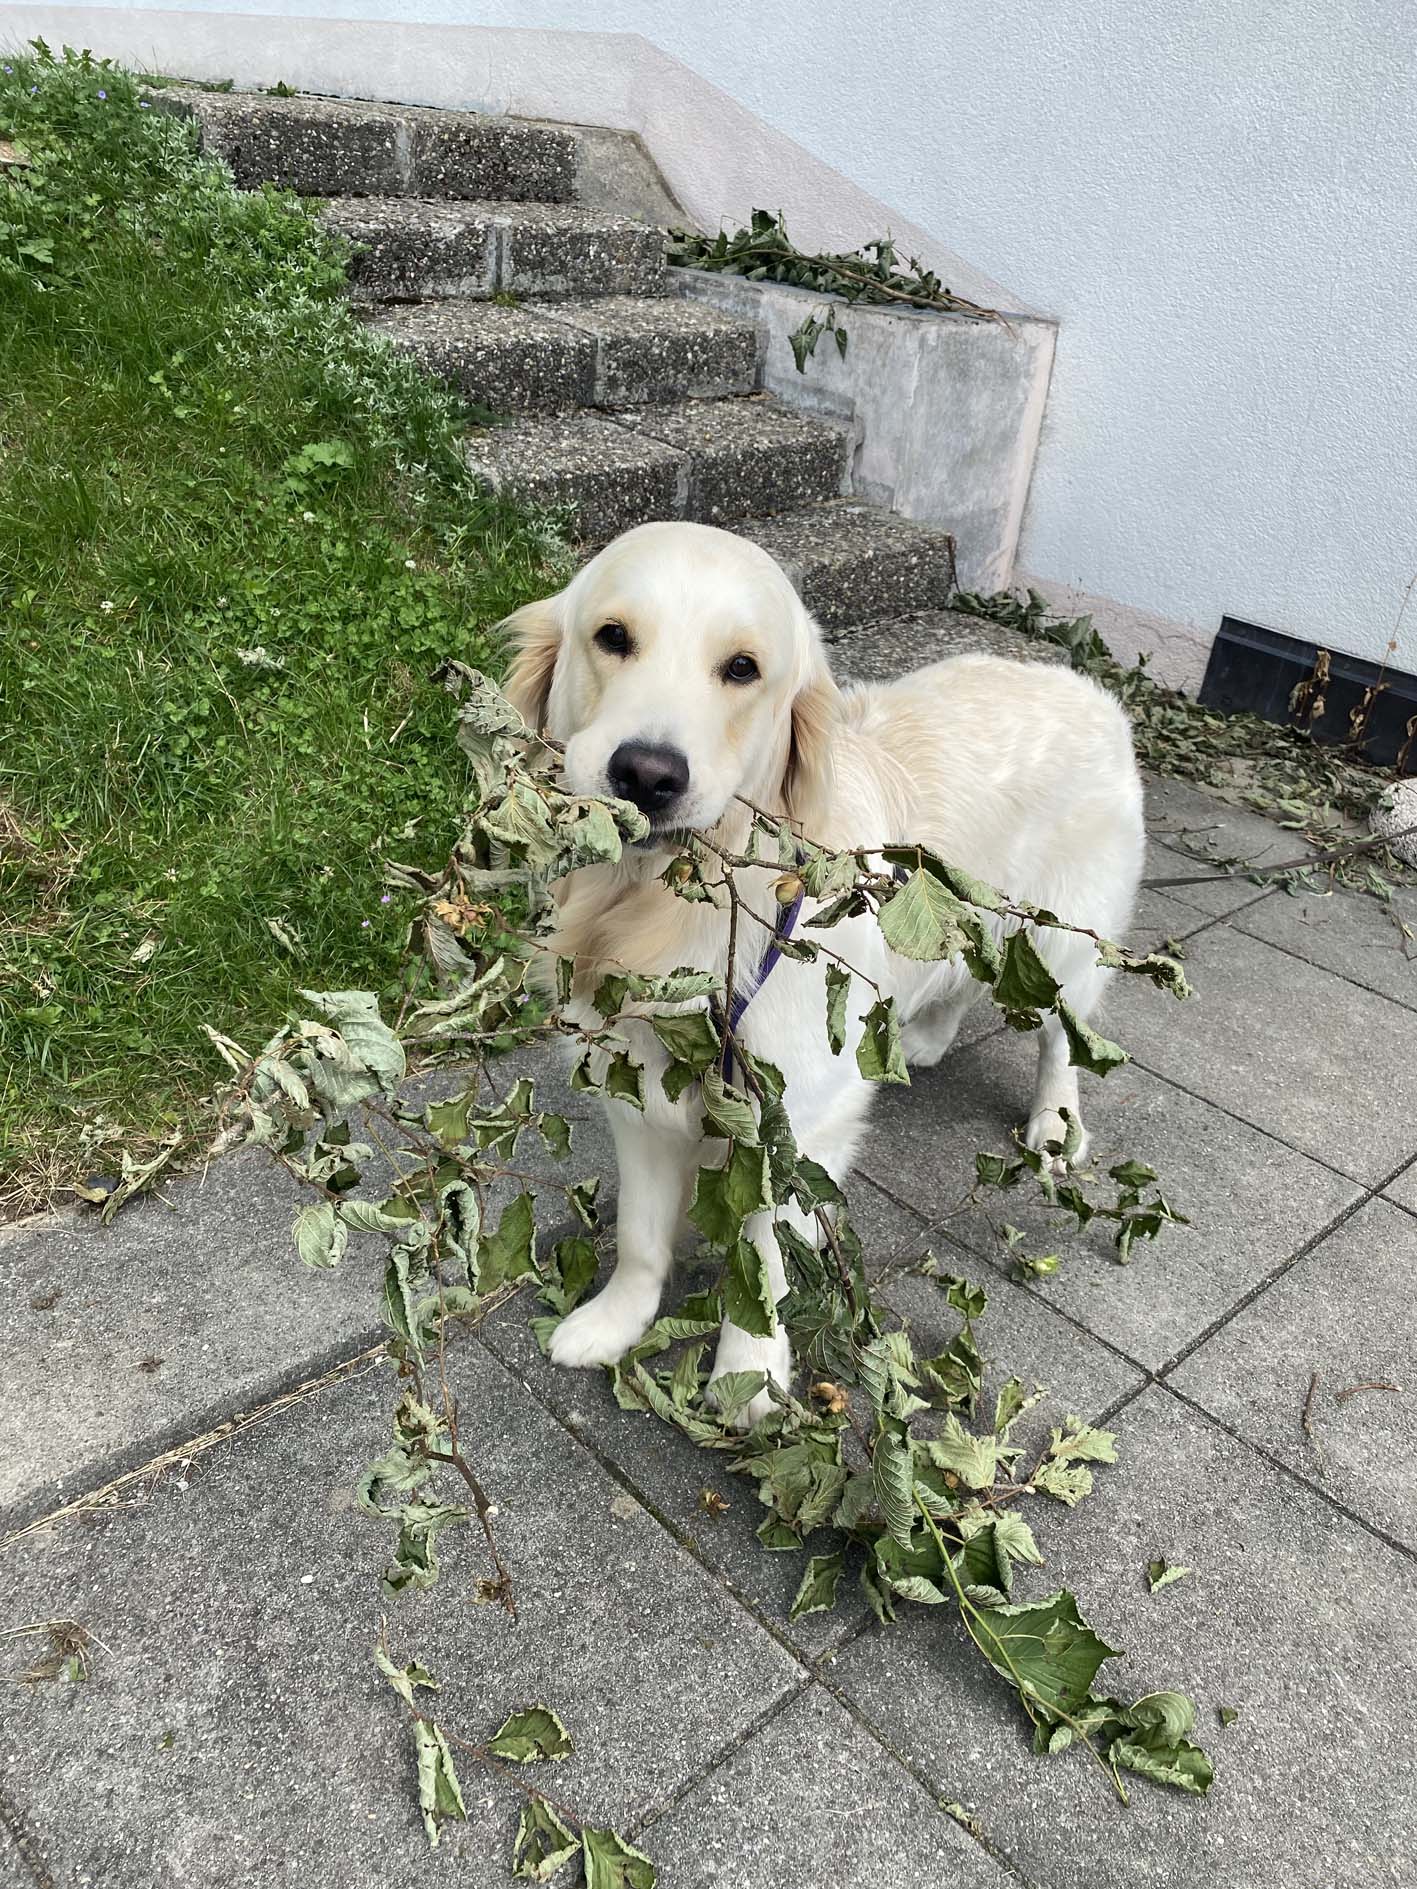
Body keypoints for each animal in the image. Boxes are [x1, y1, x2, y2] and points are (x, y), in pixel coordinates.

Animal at [501, 520, 1145, 1425]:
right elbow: (638, 1236)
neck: (660, 912)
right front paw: (612, 1322)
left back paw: (1053, 1124)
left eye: (742, 668)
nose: (646, 774)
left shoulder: (795, 1121)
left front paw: (748, 1373)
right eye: (612, 637)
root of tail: (1088, 687)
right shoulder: (638, 1092)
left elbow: (765, 1262)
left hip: (1058, 945)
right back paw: (923, 1037)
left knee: (1062, 1037)